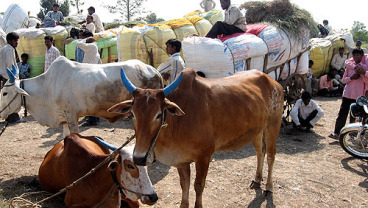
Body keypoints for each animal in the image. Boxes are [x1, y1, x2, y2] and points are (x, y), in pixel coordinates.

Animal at [0, 56, 162, 136]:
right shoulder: (64, 118)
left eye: (4, 92)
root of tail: (154, 70)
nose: (0, 113)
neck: (47, 87)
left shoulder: (72, 115)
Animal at [109, 67, 284, 207]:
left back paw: (269, 187)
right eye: (132, 114)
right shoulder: (181, 161)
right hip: (257, 130)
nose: (139, 158)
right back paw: (257, 179)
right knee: (260, 152)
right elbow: (184, 185)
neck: (177, 123)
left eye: (158, 115)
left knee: (271, 155)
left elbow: (198, 186)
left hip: (273, 125)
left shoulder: (204, 157)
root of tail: (272, 81)